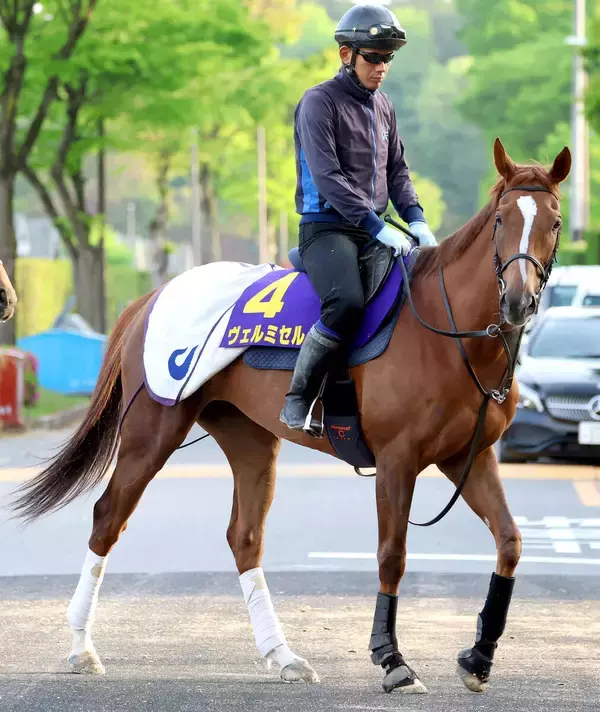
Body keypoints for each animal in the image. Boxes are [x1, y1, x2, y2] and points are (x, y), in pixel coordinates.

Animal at [11, 139, 571, 694]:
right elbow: (392, 554)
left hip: (251, 441)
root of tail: (152, 298)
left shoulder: (468, 457)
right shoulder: (397, 461)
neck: (446, 332)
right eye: (500, 219)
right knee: (109, 518)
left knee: (245, 538)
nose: (518, 300)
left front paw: (479, 656)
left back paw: (282, 654)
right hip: (152, 431)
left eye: (554, 221)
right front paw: (391, 658)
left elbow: (511, 542)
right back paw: (81, 647)